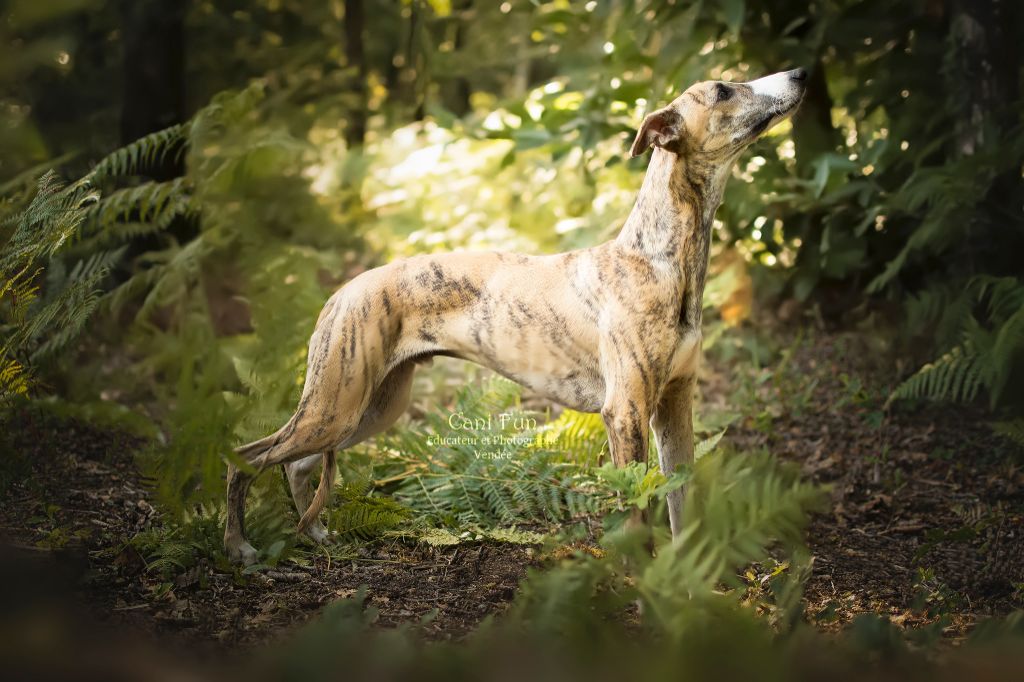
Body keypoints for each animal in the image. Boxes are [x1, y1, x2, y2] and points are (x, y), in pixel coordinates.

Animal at [224, 67, 806, 561]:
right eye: (724, 90)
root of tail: (343, 291)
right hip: (335, 406)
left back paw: (315, 534)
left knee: (296, 464)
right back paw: (239, 547)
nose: (802, 73)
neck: (655, 260)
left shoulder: (675, 407)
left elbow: (682, 508)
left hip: (368, 407)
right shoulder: (625, 413)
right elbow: (638, 516)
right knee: (244, 458)